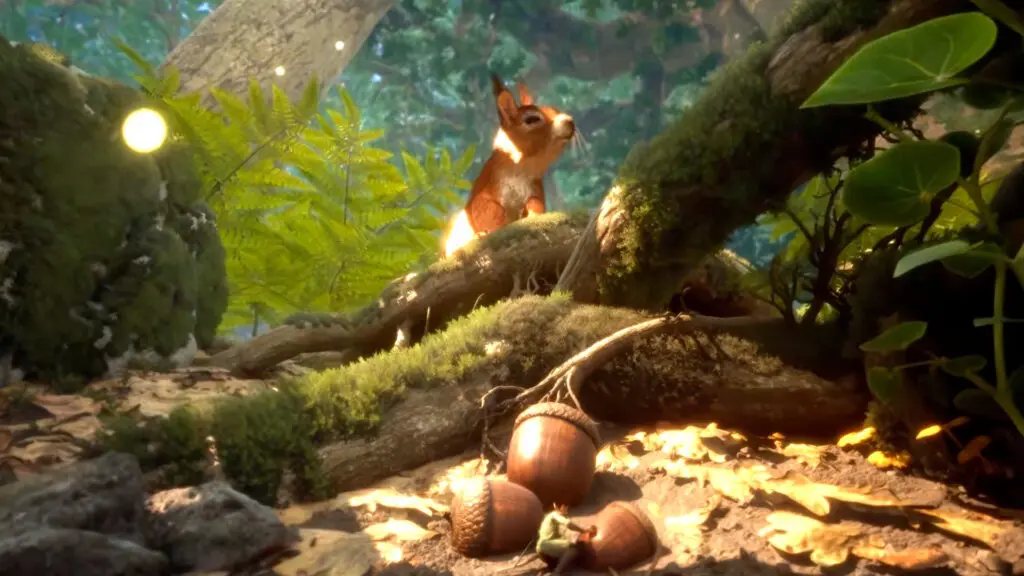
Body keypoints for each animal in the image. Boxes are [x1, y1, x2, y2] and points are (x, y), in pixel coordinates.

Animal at [443, 73, 576, 258]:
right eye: (532, 119)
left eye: (554, 109)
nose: (570, 121)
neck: (521, 168)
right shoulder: (487, 186)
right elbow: (487, 207)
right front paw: (488, 230)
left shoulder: (535, 189)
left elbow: (536, 203)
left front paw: (531, 214)